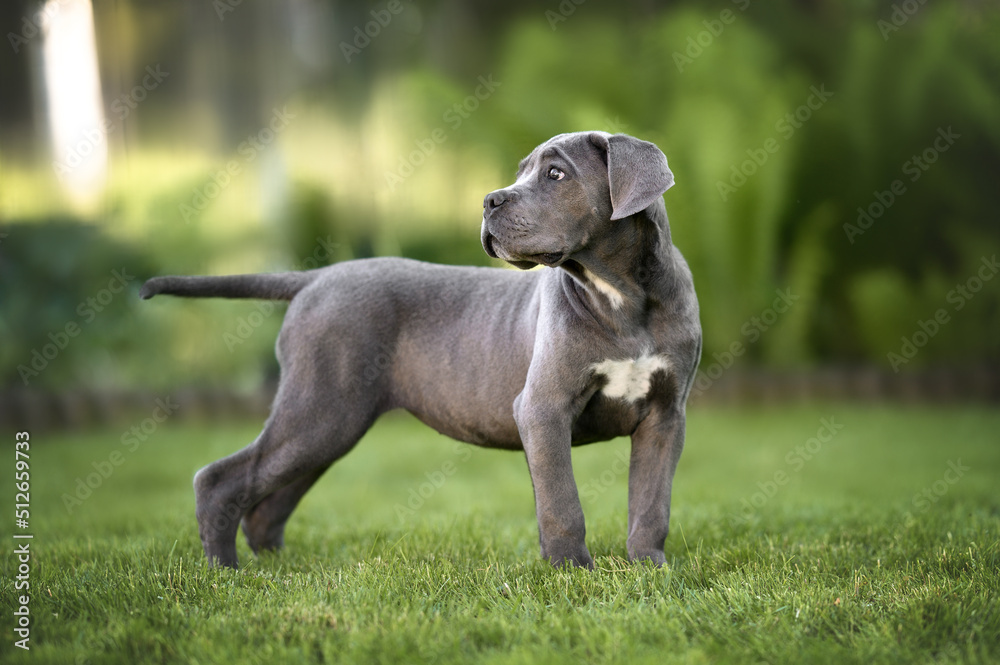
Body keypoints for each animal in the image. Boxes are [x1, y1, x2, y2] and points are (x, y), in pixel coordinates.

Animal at [143, 132, 704, 568]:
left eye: (555, 174)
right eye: (522, 172)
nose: (490, 200)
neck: (623, 296)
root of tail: (318, 277)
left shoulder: (665, 416)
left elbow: (651, 501)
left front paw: (649, 568)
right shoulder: (544, 409)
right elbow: (561, 502)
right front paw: (572, 573)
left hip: (329, 423)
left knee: (267, 501)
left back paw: (275, 569)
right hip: (320, 409)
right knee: (219, 480)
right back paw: (225, 572)